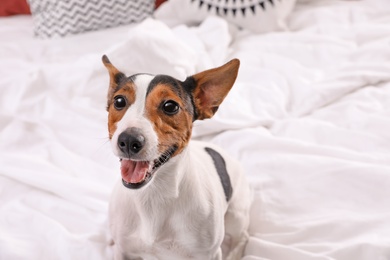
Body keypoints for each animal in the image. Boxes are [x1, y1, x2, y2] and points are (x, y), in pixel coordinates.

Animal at [102, 55, 251, 260]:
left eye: (170, 106)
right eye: (119, 101)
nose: (129, 140)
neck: (153, 195)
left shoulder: (209, 254)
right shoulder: (123, 250)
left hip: (237, 213)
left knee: (242, 237)